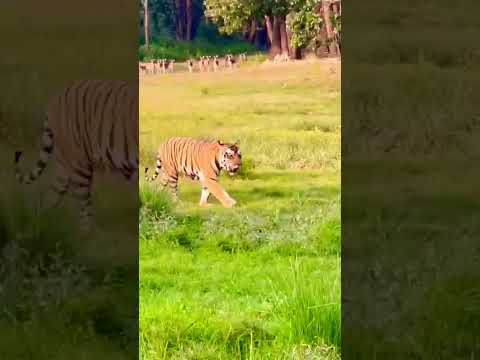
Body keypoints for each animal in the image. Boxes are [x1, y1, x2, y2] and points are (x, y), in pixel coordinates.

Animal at [13, 79, 140, 232]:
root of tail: (56, 98)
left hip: (64, 166)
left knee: (50, 196)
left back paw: (40, 225)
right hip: (79, 165)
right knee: (83, 207)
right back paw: (90, 233)